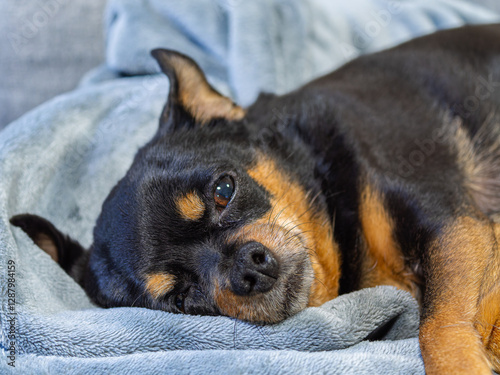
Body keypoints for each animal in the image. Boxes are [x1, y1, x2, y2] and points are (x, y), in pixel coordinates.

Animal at [8, 25, 500, 374]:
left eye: (224, 190)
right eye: (181, 299)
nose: (247, 267)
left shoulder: (450, 225)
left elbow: (438, 324)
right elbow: (442, 321)